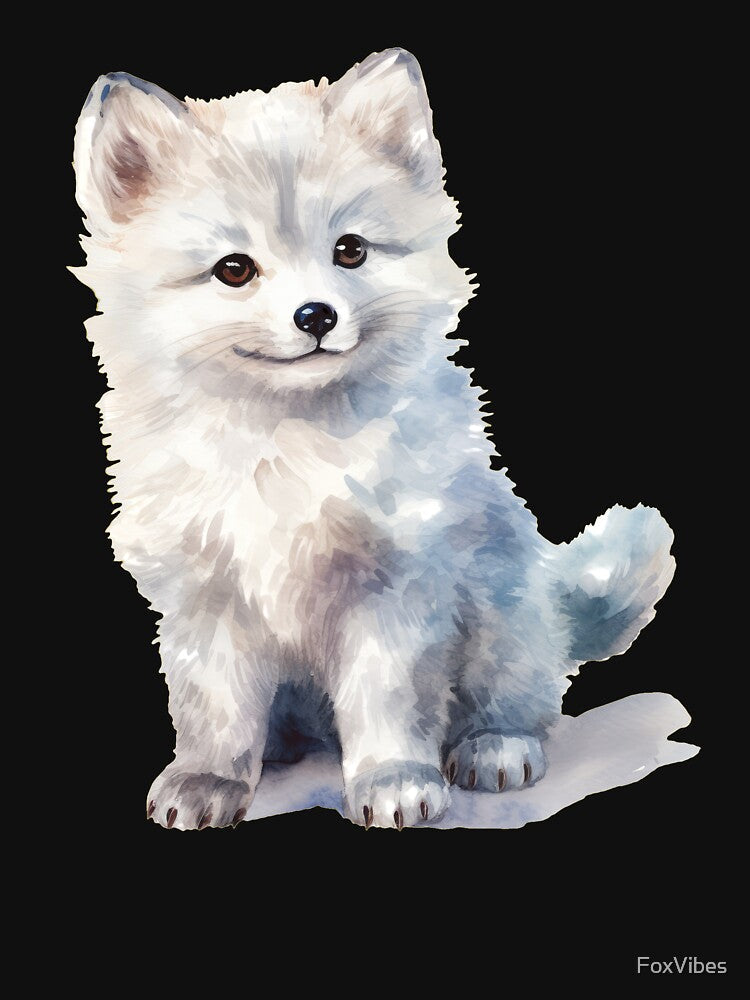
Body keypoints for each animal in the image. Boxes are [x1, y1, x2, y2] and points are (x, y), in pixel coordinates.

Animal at [72, 48, 675, 830]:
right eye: (234, 268)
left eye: (350, 250)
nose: (316, 315)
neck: (287, 450)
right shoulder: (207, 597)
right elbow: (216, 711)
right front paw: (208, 781)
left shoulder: (395, 586)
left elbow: (387, 699)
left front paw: (394, 780)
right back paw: (280, 749)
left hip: (504, 609)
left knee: (522, 700)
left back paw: (495, 747)